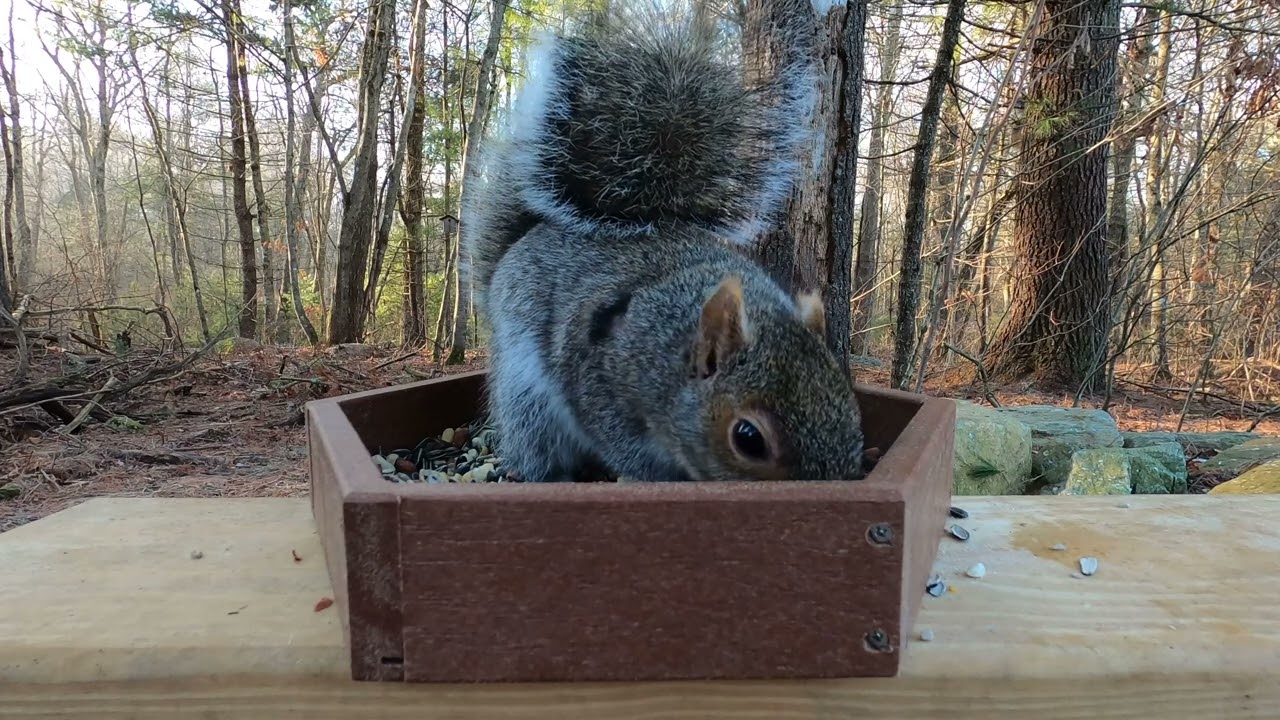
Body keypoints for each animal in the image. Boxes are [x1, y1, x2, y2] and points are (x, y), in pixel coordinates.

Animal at [459, 3, 866, 483]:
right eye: (748, 439)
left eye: (850, 405)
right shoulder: (600, 379)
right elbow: (621, 444)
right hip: (529, 399)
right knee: (536, 446)